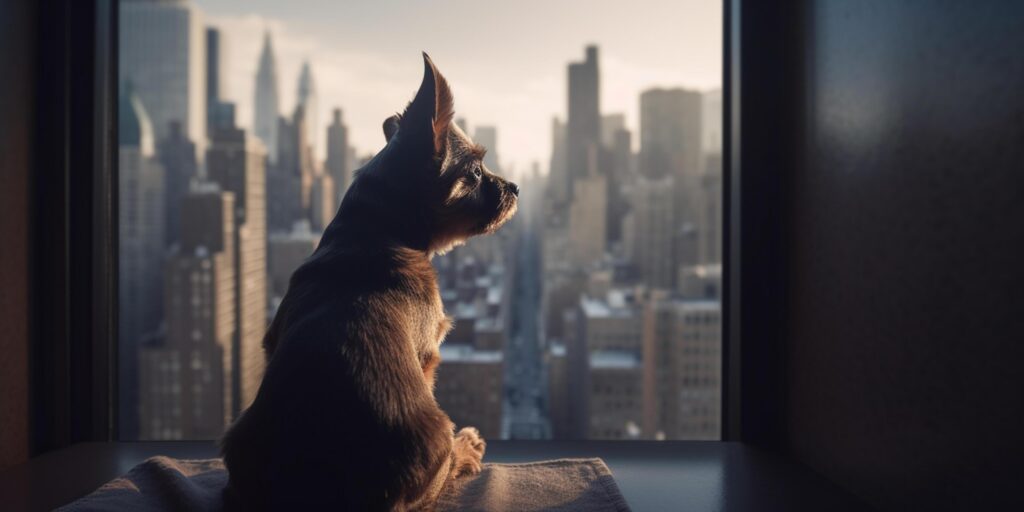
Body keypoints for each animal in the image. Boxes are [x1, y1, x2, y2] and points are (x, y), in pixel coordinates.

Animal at [219, 54, 516, 509]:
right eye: (477, 170)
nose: (515, 187)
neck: (375, 227)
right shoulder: (427, 357)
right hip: (436, 429)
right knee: (444, 465)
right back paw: (465, 447)